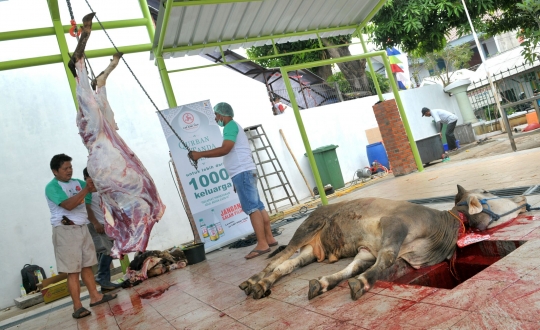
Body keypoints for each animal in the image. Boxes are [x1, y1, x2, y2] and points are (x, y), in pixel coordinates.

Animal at [240, 187, 528, 300]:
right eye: (488, 192)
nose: (524, 199)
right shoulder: (395, 225)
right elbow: (386, 259)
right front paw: (362, 283)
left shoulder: (367, 251)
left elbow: (352, 268)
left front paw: (323, 283)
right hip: (307, 228)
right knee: (279, 257)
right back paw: (252, 281)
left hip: (311, 250)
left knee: (286, 266)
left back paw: (263, 285)